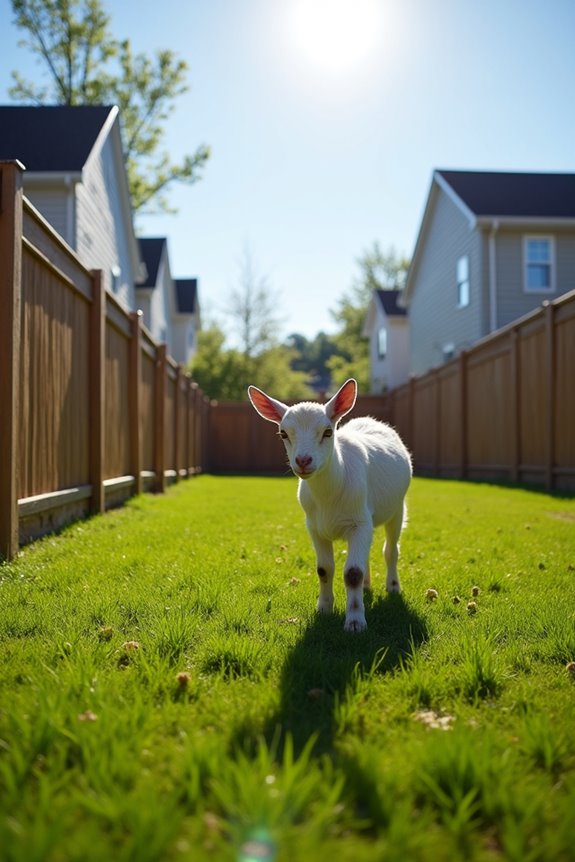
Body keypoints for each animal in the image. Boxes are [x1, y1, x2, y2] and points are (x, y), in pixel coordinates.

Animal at [247, 378, 412, 632]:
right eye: (283, 433)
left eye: (327, 432)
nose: (303, 461)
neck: (328, 498)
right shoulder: (315, 527)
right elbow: (324, 569)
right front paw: (324, 609)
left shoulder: (358, 522)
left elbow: (352, 573)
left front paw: (355, 621)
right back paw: (367, 586)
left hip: (397, 508)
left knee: (390, 550)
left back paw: (392, 586)